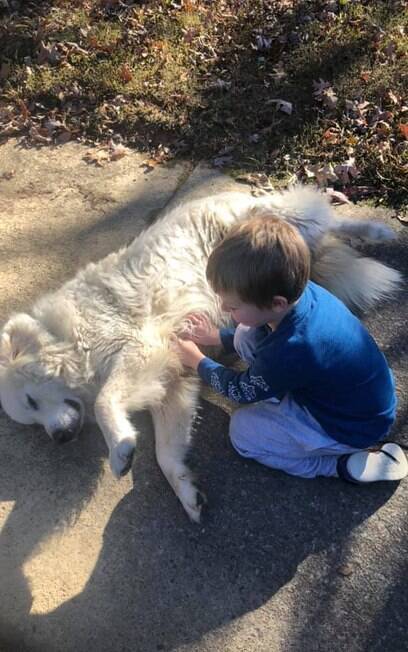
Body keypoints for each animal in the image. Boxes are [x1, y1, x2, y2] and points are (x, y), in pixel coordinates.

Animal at [0, 187, 402, 520]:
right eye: (33, 419)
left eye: (33, 402)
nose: (60, 437)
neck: (68, 338)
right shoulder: (171, 380)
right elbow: (166, 452)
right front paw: (186, 492)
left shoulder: (139, 349)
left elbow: (103, 402)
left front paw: (120, 449)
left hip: (276, 219)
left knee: (326, 216)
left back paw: (377, 231)